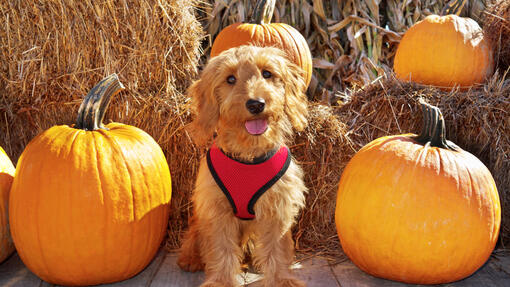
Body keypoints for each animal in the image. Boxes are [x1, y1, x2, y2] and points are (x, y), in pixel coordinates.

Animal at [177, 45, 308, 287]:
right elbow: (221, 249)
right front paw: (221, 281)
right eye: (230, 79)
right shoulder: (217, 211)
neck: (248, 155)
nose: (256, 104)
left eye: (267, 73)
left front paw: (281, 280)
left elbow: (277, 249)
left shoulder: (277, 209)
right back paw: (190, 259)